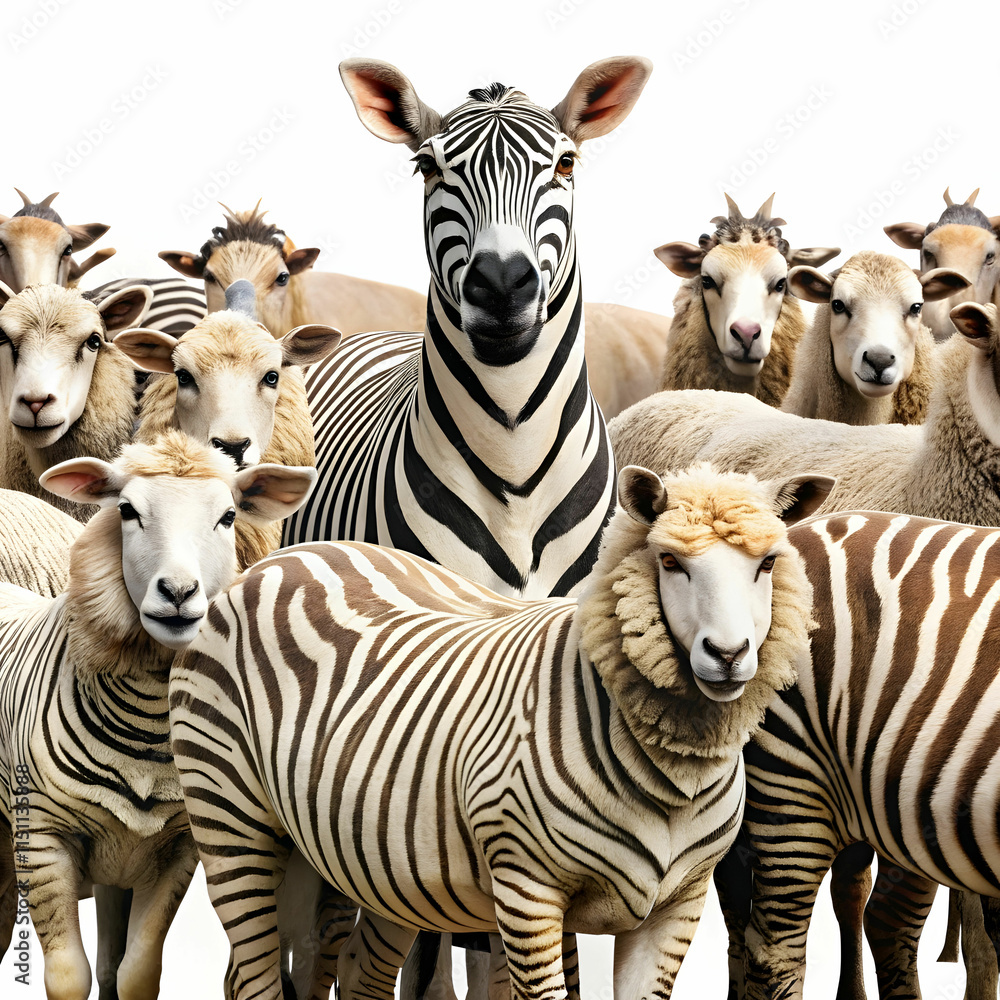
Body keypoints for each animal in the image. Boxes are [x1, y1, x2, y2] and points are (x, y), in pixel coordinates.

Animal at [0, 431, 317, 1000]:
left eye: (228, 517)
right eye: (127, 510)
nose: (177, 593)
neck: (147, 731)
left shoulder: (175, 848)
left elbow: (137, 971)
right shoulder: (42, 840)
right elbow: (68, 976)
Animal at [168, 462, 831, 1000]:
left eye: (767, 564)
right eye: (670, 563)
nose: (729, 655)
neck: (676, 773)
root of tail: (289, 554)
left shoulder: (678, 905)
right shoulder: (529, 889)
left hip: (374, 861)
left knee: (346, 970)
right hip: (231, 819)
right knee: (253, 975)